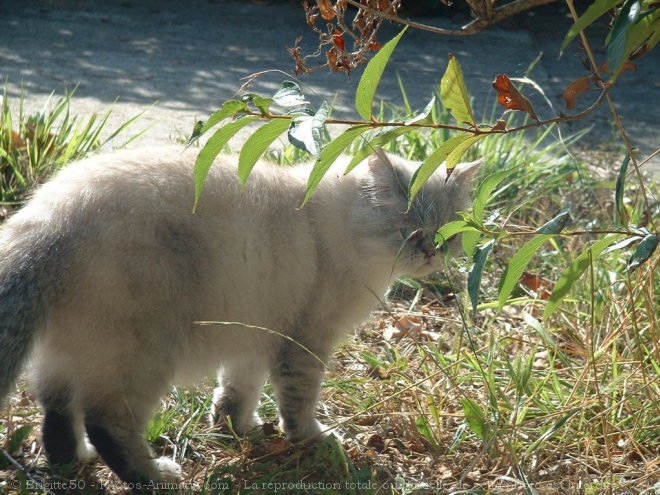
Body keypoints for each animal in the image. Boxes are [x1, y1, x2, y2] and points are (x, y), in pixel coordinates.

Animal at [0, 144, 476, 484]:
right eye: (410, 233)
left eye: (448, 236)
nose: (431, 253)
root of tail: (54, 213)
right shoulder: (305, 341)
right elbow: (298, 403)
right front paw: (314, 441)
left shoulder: (255, 332)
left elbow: (237, 391)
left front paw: (236, 430)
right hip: (143, 357)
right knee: (106, 421)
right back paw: (155, 476)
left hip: (70, 351)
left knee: (57, 411)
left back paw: (74, 462)